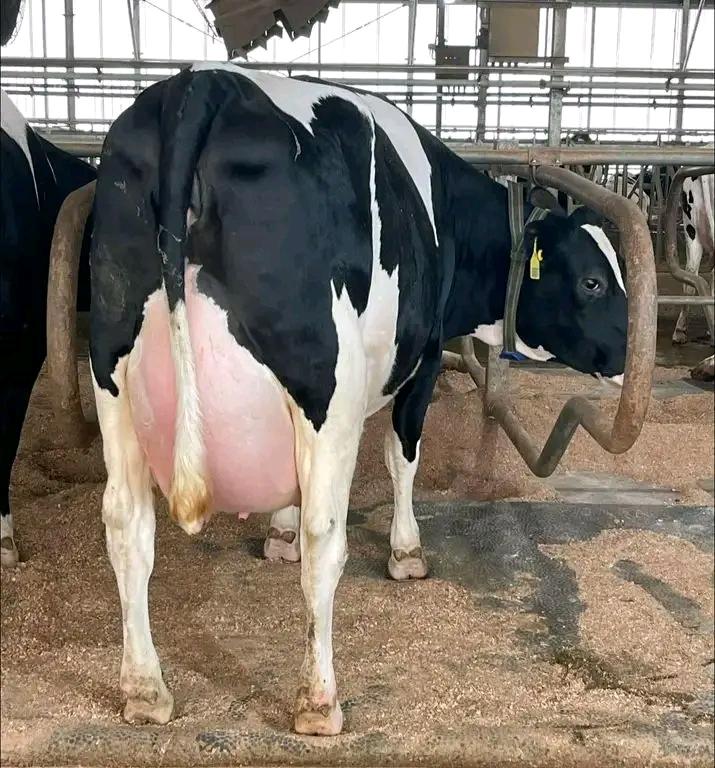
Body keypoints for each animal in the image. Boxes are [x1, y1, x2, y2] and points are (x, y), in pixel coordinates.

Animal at [87, 63, 628, 735]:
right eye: (593, 281)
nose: (631, 354)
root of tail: (202, 85)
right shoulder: (424, 356)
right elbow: (403, 456)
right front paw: (406, 551)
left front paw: (278, 533)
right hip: (329, 388)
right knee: (326, 536)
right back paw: (319, 702)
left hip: (111, 371)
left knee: (126, 524)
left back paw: (145, 690)